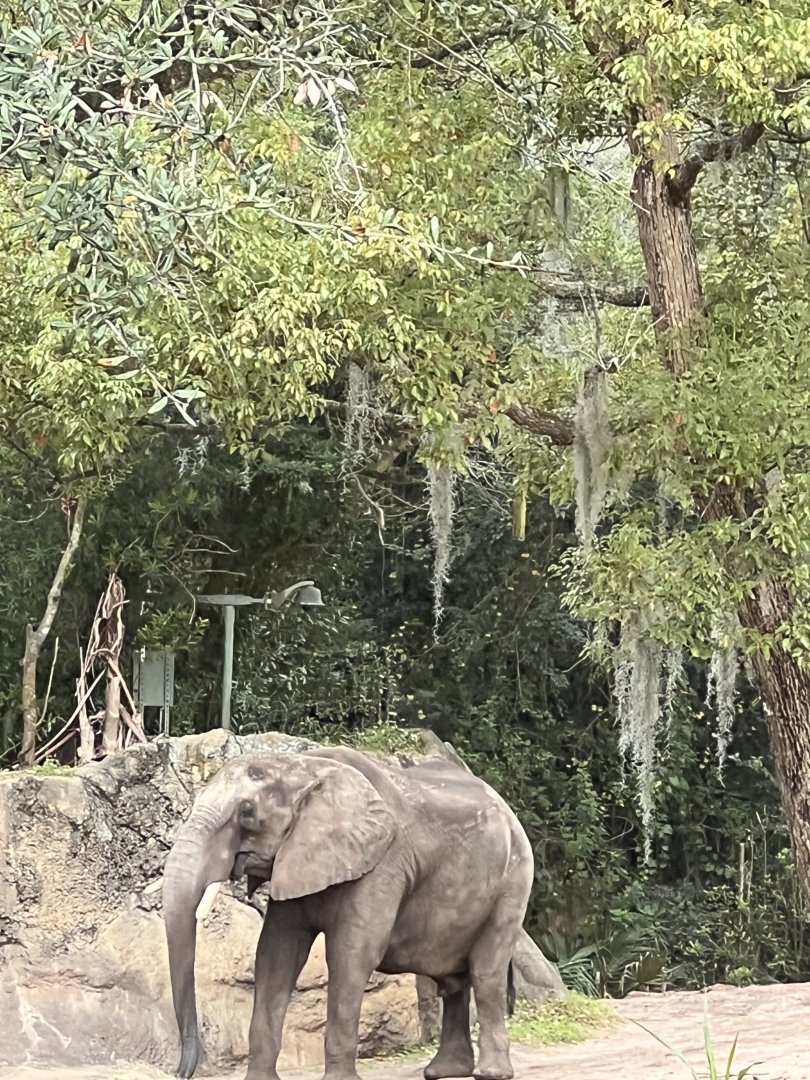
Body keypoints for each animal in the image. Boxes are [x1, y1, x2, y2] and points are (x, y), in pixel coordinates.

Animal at [162, 745, 534, 1080]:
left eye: (247, 812)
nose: (183, 1070)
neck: (303, 766)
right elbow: (275, 953)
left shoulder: (382, 863)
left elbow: (351, 954)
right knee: (454, 979)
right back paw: (444, 1071)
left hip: (514, 881)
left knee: (486, 972)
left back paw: (491, 1074)